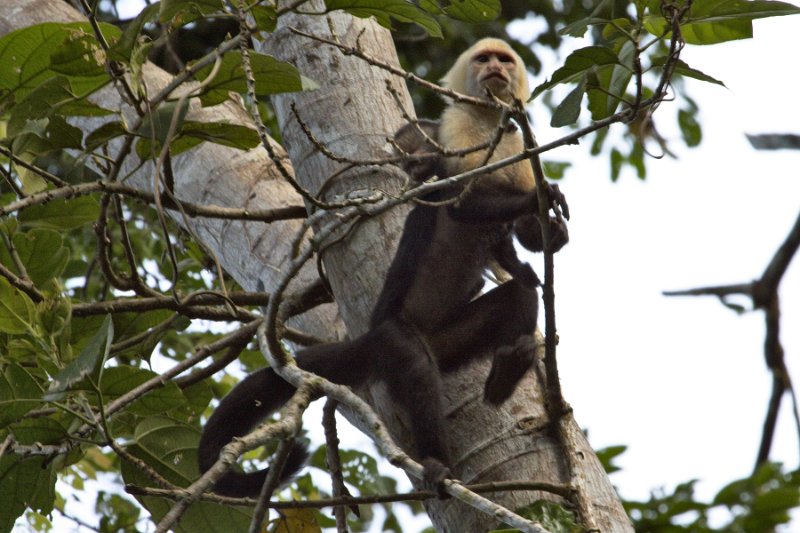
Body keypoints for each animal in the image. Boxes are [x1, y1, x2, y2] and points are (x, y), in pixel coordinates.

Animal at [198, 38, 568, 498]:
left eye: (505, 60)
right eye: (483, 59)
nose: (495, 69)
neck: (487, 124)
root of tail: (370, 339)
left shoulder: (516, 146)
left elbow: (520, 237)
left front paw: (550, 234)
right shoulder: (458, 128)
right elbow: (460, 203)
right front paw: (540, 198)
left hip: (448, 343)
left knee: (519, 298)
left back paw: (506, 371)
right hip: (392, 337)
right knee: (415, 365)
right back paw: (439, 462)